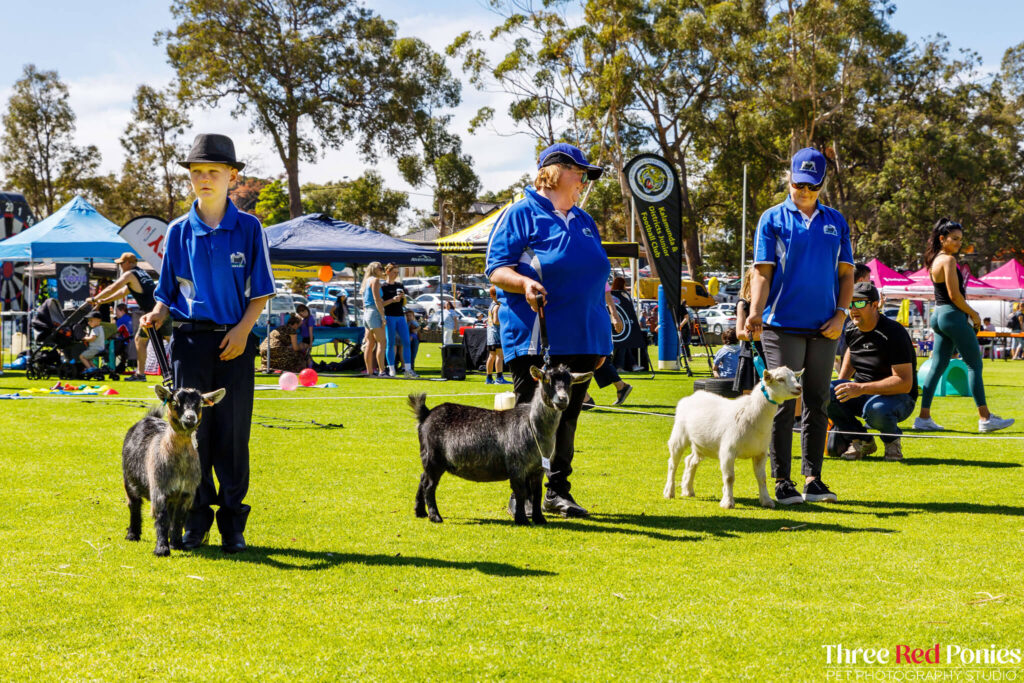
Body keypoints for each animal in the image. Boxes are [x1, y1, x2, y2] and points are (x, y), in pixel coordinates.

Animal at [122, 385, 225, 557]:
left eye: (199, 404)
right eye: (175, 401)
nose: (190, 418)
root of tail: (149, 418)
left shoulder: (186, 493)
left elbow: (179, 519)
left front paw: (177, 544)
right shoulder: (159, 489)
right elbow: (162, 519)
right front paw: (162, 549)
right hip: (129, 480)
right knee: (134, 505)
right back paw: (132, 534)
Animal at [407, 366, 593, 528]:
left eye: (570, 383)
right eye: (547, 379)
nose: (562, 400)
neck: (532, 425)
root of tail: (426, 414)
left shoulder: (538, 469)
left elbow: (537, 492)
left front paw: (540, 519)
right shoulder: (517, 466)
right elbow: (521, 492)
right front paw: (522, 519)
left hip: (429, 459)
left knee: (422, 479)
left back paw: (420, 511)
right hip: (434, 458)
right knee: (429, 486)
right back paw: (435, 516)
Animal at [663, 368, 806, 507]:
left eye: (795, 376)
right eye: (780, 379)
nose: (799, 388)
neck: (751, 414)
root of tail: (692, 397)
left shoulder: (760, 453)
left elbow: (762, 478)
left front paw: (766, 501)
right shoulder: (728, 451)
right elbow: (729, 478)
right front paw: (728, 502)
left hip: (701, 444)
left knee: (690, 461)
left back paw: (688, 490)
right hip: (679, 435)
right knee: (672, 464)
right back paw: (669, 492)